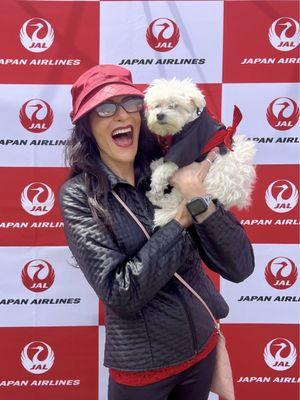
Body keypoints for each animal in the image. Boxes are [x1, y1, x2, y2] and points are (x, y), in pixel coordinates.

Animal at [144, 78, 256, 227]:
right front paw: (156, 163)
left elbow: (164, 169)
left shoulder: (187, 147)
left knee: (175, 203)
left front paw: (156, 181)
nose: (159, 115)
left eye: (174, 105)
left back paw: (159, 208)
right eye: (157, 105)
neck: (190, 122)